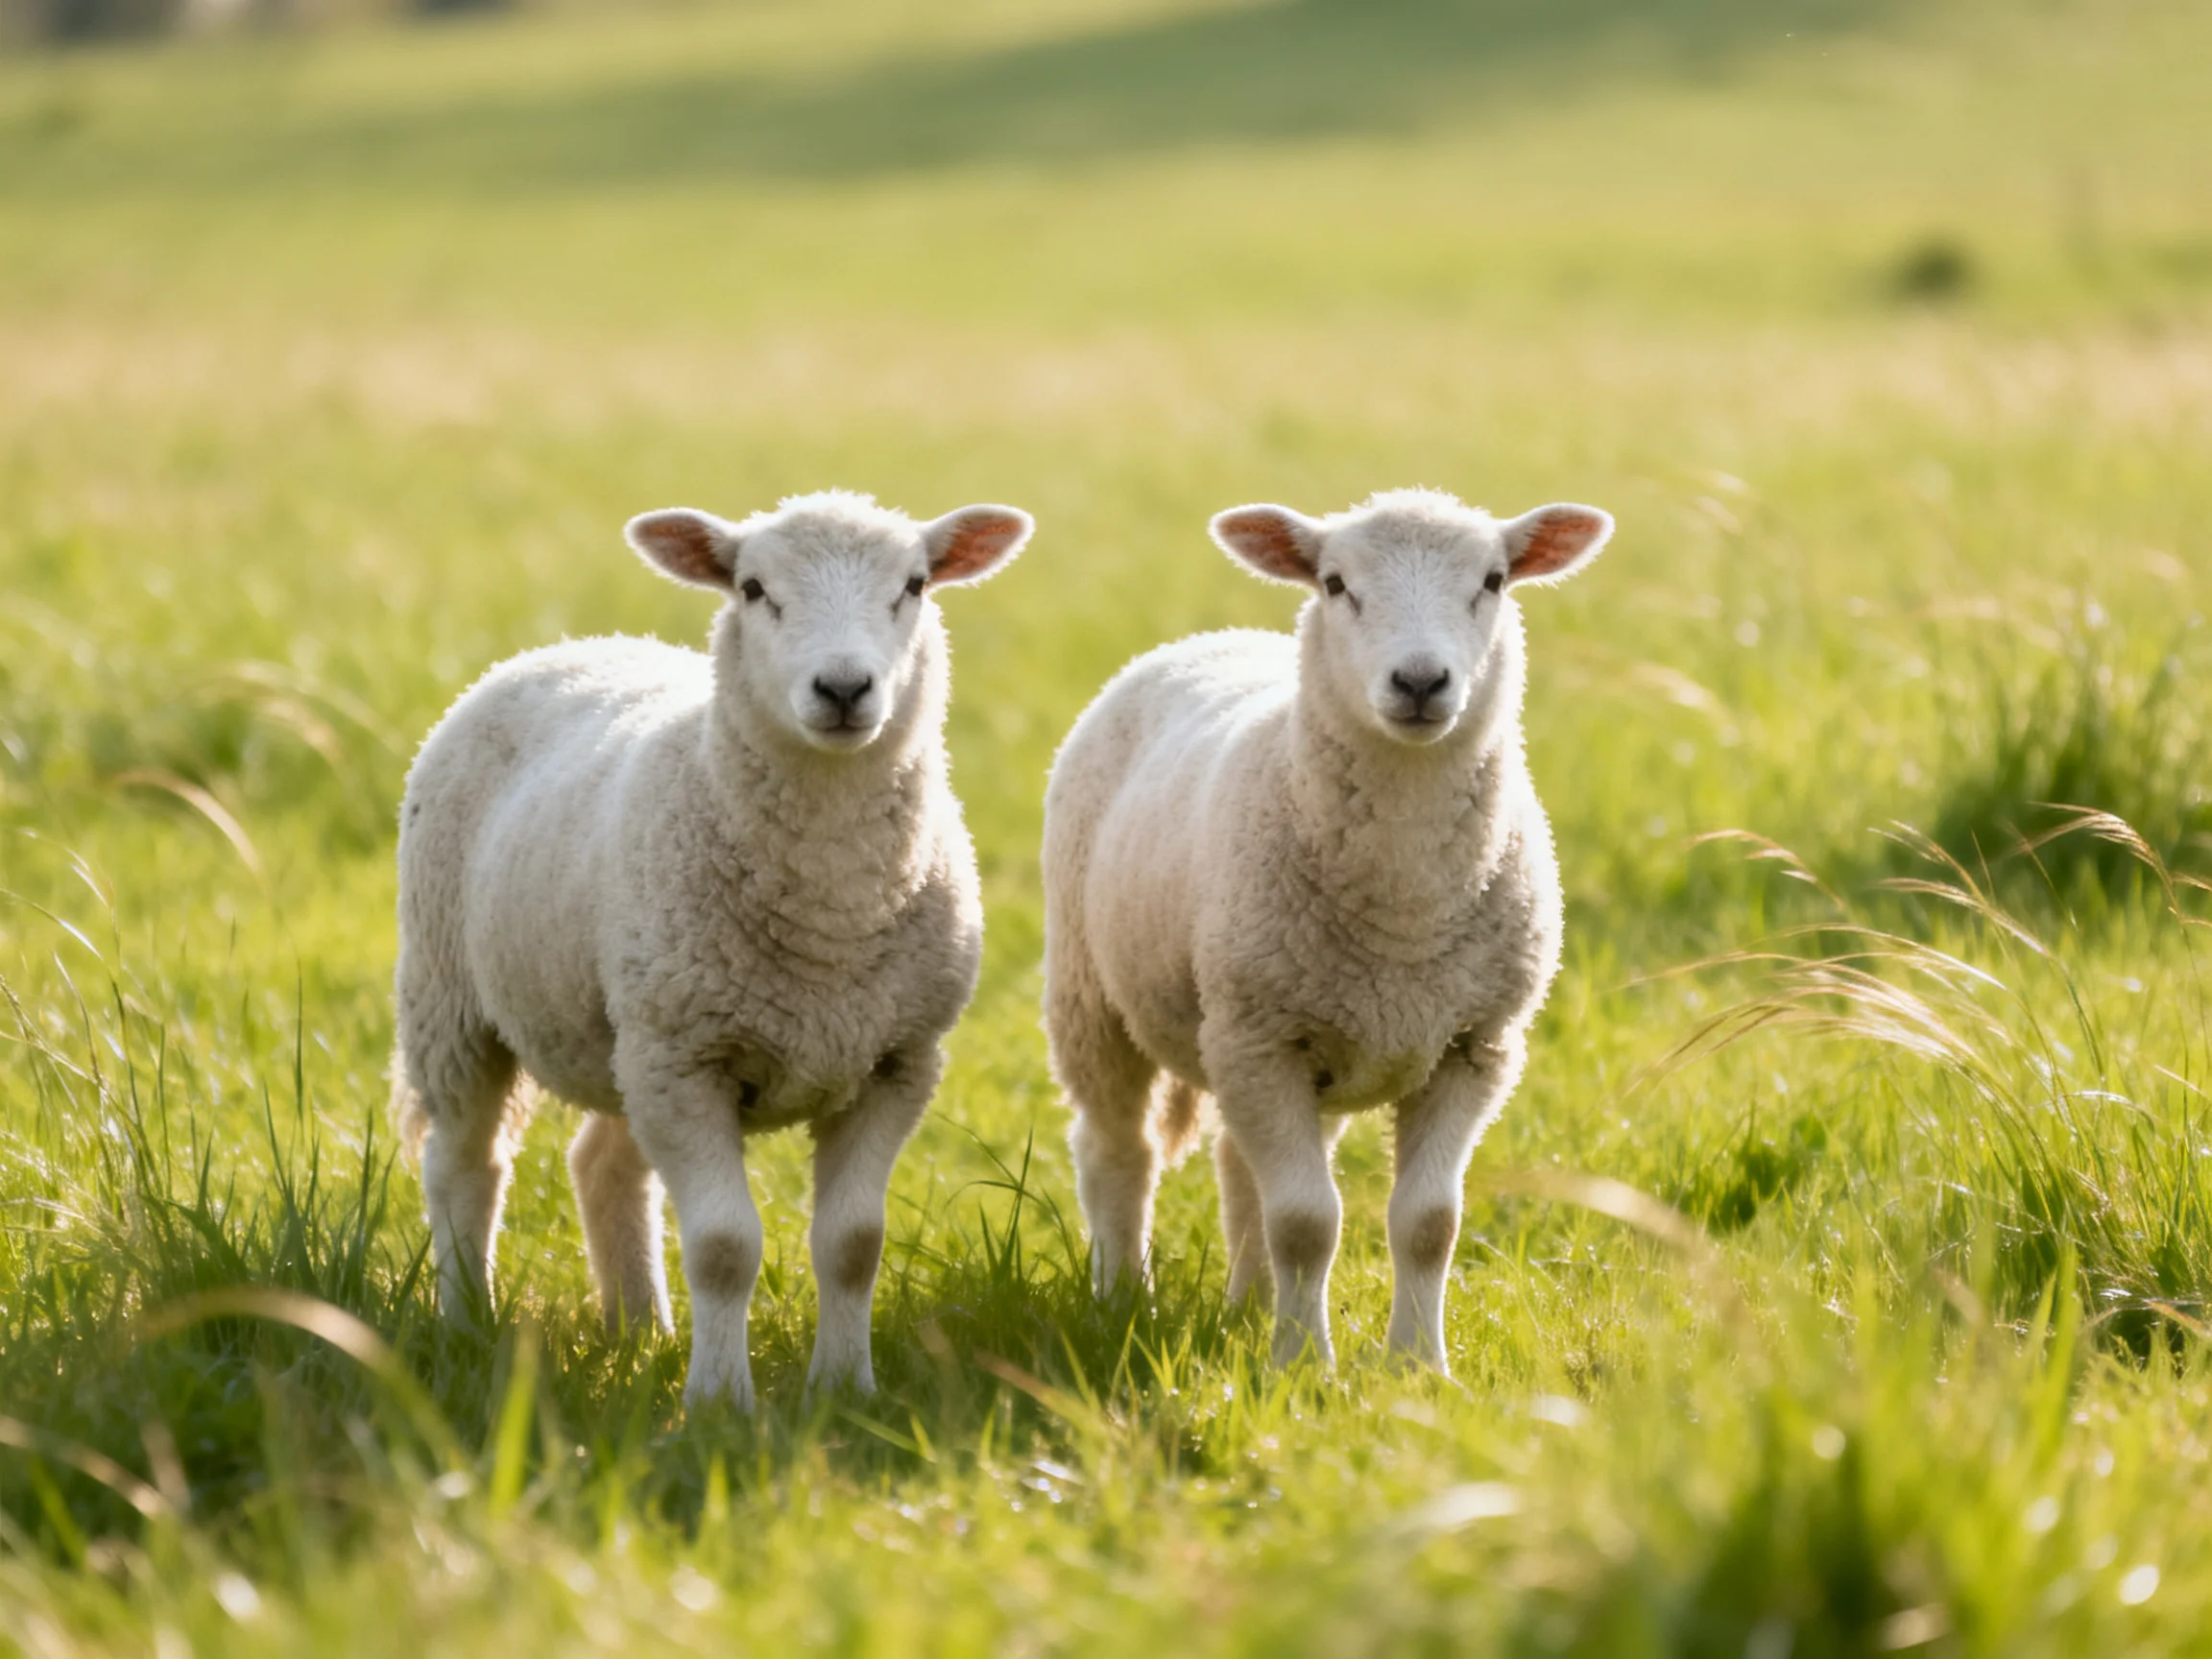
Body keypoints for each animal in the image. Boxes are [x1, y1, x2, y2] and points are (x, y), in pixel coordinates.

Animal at [391, 489, 1031, 1411]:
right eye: (753, 588)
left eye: (913, 585)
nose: (844, 687)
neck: (830, 911)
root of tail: (573, 644)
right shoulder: (688, 1062)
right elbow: (725, 1247)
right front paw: (721, 1403)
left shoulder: (896, 1060)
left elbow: (854, 1242)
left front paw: (845, 1389)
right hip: (457, 1000)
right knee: (464, 1165)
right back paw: (468, 1323)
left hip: (628, 1029)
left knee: (603, 1165)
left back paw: (640, 1329)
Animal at [1042, 488, 1610, 1373]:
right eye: (1337, 583)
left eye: (1493, 580)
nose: (1420, 680)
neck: (1406, 909)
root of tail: (1212, 637)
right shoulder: (1263, 1038)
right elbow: (1307, 1223)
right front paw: (1306, 1369)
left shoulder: (1474, 1046)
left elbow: (1428, 1224)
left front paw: (1419, 1367)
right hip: (1095, 995)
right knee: (1116, 1150)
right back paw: (1122, 1299)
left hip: (1306, 1040)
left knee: (1237, 1165)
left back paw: (1248, 1307)